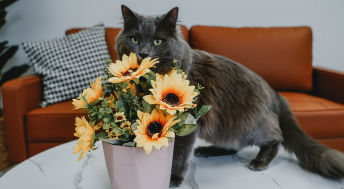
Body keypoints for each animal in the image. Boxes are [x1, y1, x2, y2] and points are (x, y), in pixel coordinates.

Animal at [115, 5, 344, 187]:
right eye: (135, 38)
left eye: (157, 42)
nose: (143, 53)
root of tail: (274, 92)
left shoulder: (188, 123)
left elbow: (178, 156)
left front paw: (172, 179)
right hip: (225, 128)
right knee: (234, 146)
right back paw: (209, 151)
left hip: (252, 124)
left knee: (275, 139)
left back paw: (259, 162)